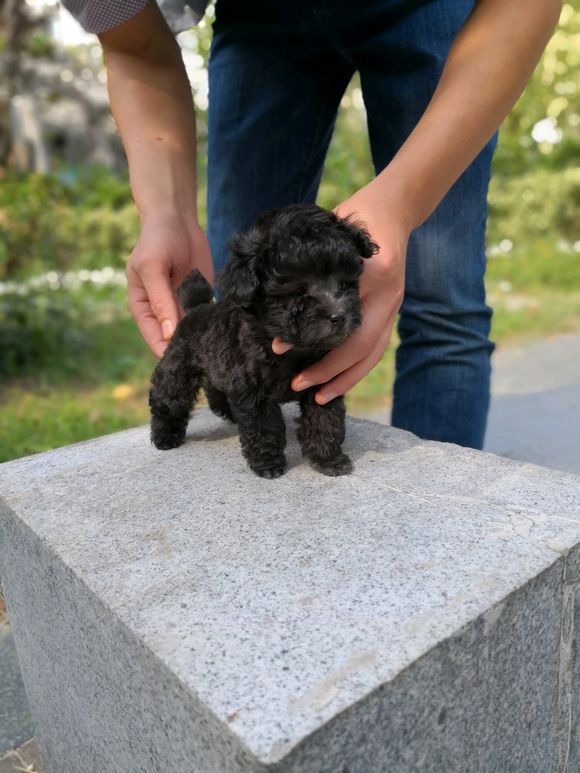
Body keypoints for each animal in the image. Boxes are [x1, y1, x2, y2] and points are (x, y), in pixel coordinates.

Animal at [150, 202, 376, 474]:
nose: (338, 316)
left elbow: (325, 419)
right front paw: (267, 462)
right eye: (297, 291)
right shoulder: (253, 392)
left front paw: (327, 459)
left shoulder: (323, 383)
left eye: (343, 284)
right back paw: (164, 435)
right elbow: (264, 426)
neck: (295, 349)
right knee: (166, 399)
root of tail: (197, 308)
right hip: (178, 371)